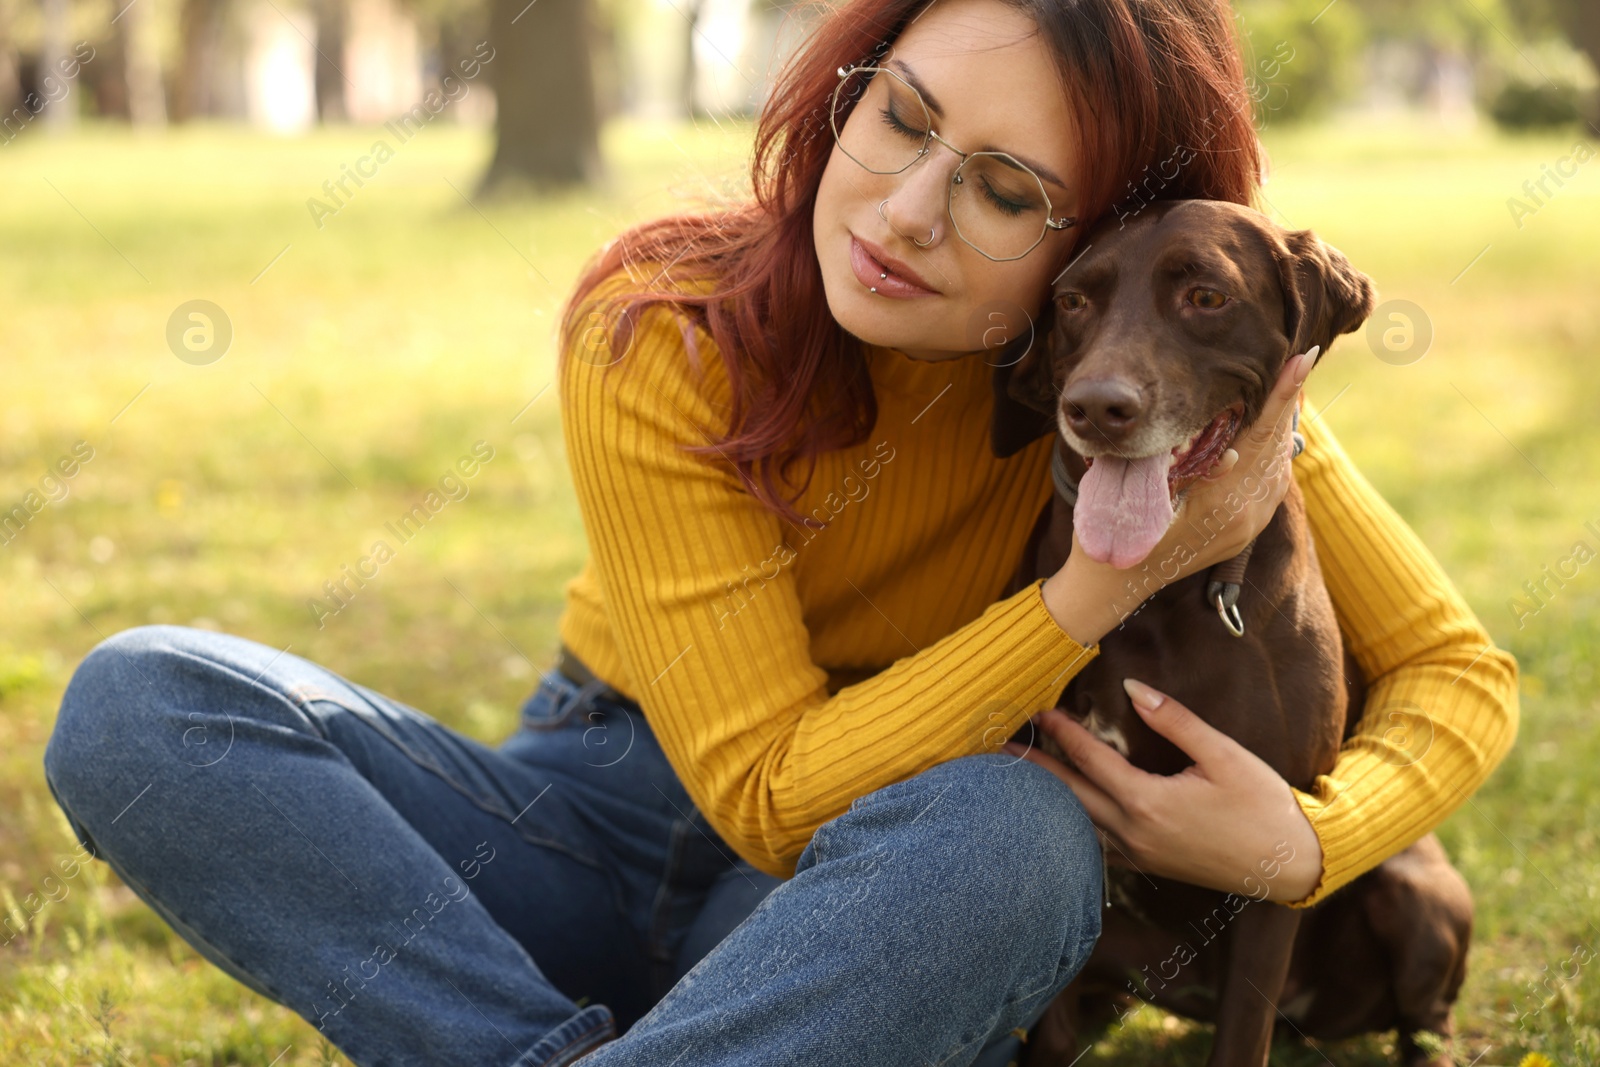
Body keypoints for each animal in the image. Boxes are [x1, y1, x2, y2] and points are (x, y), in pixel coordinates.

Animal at [992, 202, 1465, 1067]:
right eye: (1072, 301)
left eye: (1207, 297)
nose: (1096, 407)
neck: (1157, 597)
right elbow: (1049, 1031)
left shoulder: (1271, 848)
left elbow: (1244, 1035)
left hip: (1414, 893)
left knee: (1426, 1016)